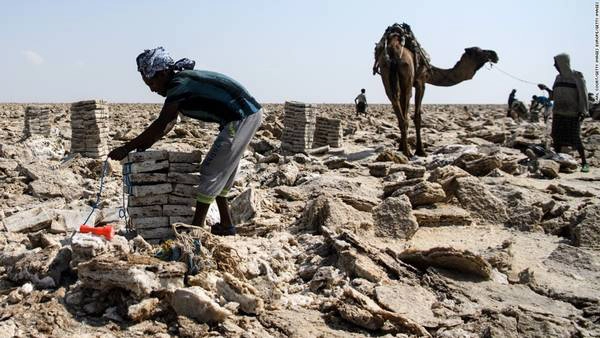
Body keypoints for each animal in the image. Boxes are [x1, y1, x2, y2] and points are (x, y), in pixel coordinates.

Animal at [376, 24, 496, 158]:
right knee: (405, 115)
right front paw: (420, 151)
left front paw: (400, 147)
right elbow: (417, 116)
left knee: (397, 106)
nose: (495, 54)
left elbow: (405, 111)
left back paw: (406, 151)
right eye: (479, 51)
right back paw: (408, 153)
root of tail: (393, 51)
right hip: (407, 75)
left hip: (386, 75)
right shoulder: (421, 81)